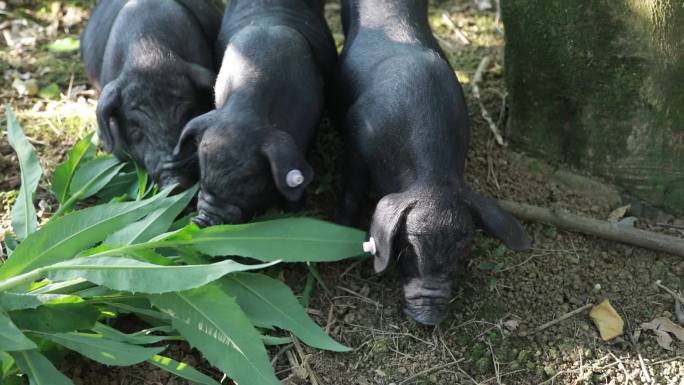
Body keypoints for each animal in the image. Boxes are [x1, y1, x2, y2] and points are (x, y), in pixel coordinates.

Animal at [340, 0, 532, 324]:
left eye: (461, 255)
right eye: (407, 251)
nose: (430, 319)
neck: (433, 178)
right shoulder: (355, 137)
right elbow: (351, 190)